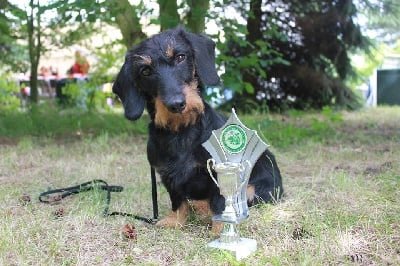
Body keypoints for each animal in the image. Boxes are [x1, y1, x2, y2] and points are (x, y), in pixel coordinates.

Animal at [111, 26, 282, 231]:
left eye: (180, 57)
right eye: (145, 71)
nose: (176, 104)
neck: (181, 130)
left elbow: (220, 201)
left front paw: (221, 227)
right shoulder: (168, 175)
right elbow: (177, 199)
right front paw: (174, 220)